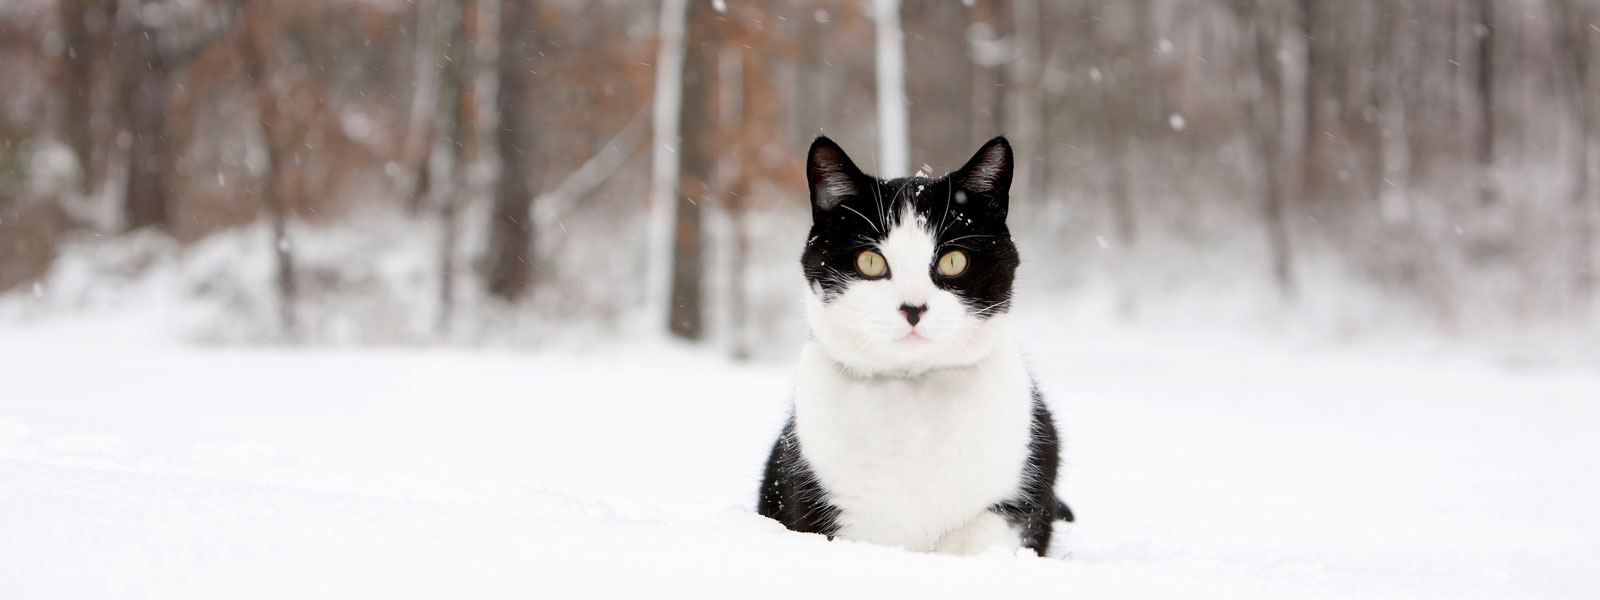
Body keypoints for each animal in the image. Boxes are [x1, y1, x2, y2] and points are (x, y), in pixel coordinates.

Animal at [758, 137, 1075, 560]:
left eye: (953, 261)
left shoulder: (1017, 499)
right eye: (870, 261)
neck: (912, 396)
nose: (913, 308)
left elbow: (976, 540)